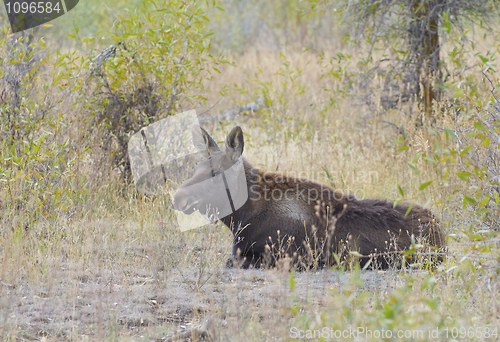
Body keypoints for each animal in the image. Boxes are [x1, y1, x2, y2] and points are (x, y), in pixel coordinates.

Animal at [172, 124, 446, 268]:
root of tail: (441, 233)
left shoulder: (286, 256)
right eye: (196, 168)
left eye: (215, 173)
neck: (241, 217)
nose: (177, 198)